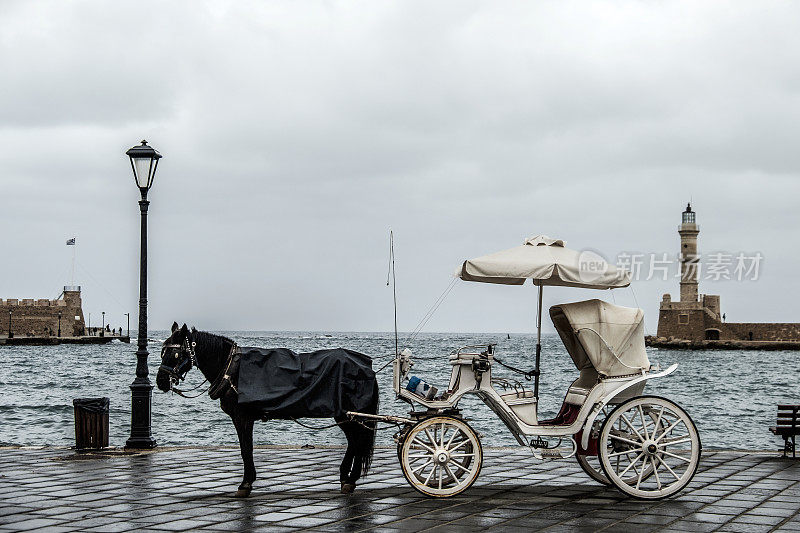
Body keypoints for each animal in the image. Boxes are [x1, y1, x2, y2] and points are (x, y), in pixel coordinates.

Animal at [159, 322, 382, 496]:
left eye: (175, 353)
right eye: (162, 351)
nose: (160, 382)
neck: (232, 369)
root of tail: (366, 367)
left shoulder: (242, 417)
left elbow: (245, 448)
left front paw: (246, 483)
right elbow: (246, 448)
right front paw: (248, 480)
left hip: (350, 414)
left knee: (358, 441)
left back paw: (350, 479)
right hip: (346, 416)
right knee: (354, 442)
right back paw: (345, 477)